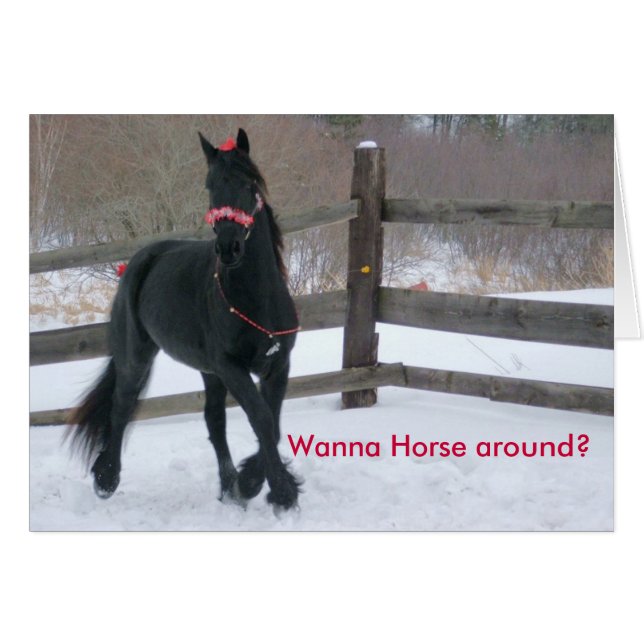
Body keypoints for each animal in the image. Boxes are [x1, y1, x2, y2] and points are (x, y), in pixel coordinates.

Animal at [66, 128, 301, 511]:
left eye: (250, 184)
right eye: (209, 185)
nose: (229, 248)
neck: (257, 298)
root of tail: (139, 260)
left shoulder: (277, 366)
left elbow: (272, 424)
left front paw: (251, 483)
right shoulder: (232, 367)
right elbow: (262, 419)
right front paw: (275, 490)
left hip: (209, 372)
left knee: (214, 422)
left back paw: (228, 487)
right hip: (138, 358)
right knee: (121, 407)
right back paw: (106, 479)